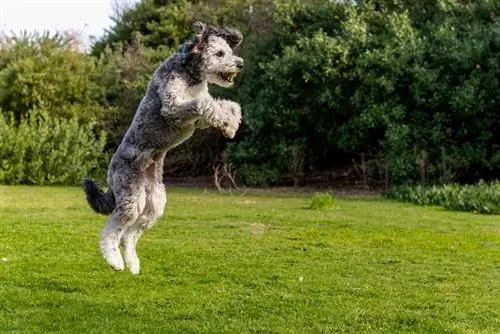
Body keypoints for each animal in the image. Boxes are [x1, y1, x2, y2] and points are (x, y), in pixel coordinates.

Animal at [83, 22, 243, 276]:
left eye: (228, 50)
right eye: (220, 53)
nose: (240, 63)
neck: (189, 75)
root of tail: (111, 172)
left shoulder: (198, 116)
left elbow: (226, 105)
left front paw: (231, 123)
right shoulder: (173, 106)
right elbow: (204, 104)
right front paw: (227, 123)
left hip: (154, 204)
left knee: (129, 236)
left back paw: (133, 264)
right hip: (131, 199)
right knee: (111, 232)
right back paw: (115, 261)